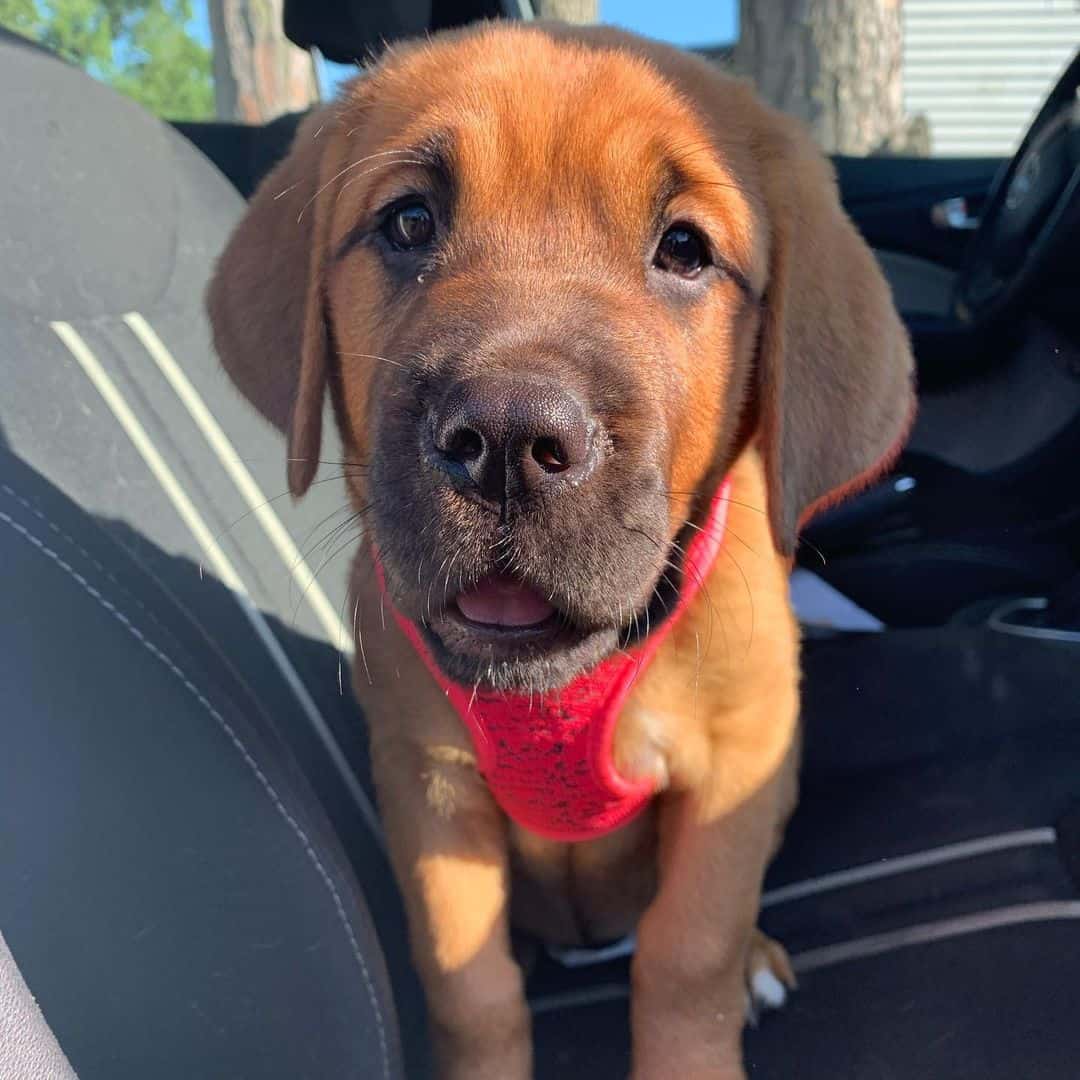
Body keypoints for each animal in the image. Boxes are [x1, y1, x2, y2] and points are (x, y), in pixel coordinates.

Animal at [208, 19, 911, 1080]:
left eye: (685, 249)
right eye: (409, 223)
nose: (506, 441)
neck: (558, 690)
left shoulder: (737, 765)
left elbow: (688, 955)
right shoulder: (428, 789)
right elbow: (471, 985)